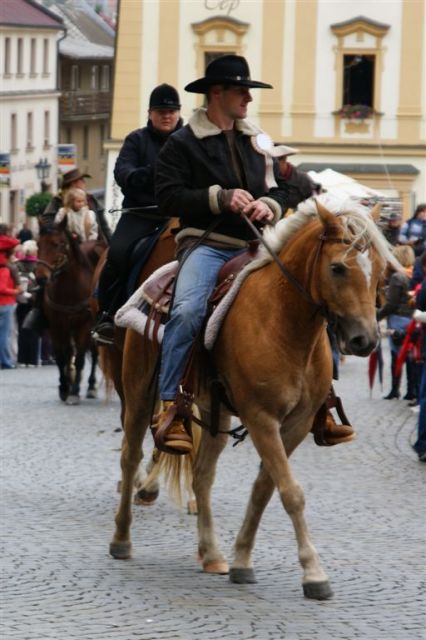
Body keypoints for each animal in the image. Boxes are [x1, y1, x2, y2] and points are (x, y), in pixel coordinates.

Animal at [36, 218, 102, 402]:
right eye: (38, 244)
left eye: (57, 244)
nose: (41, 278)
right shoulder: (56, 325)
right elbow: (61, 357)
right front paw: (64, 388)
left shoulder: (85, 326)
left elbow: (79, 358)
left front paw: (74, 392)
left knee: (94, 354)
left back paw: (91, 386)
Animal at [108, 198, 398, 596]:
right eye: (338, 267)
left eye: (381, 272)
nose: (365, 340)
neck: (285, 323)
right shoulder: (262, 419)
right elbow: (291, 491)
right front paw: (314, 573)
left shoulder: (295, 425)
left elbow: (265, 488)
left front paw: (242, 560)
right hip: (138, 392)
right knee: (130, 456)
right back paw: (121, 538)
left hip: (214, 411)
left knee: (202, 475)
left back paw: (211, 553)